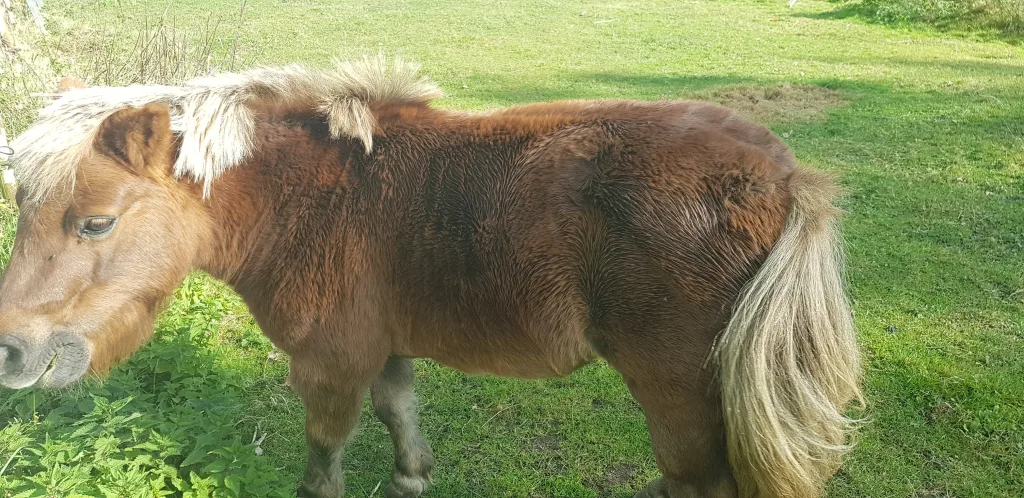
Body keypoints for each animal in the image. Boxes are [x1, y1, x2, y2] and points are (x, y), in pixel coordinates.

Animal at [0, 56, 863, 498]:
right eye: (21, 206)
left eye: (96, 222)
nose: (11, 352)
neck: (311, 198)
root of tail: (783, 177)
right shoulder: (384, 348)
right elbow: (402, 423)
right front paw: (411, 478)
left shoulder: (328, 364)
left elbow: (324, 461)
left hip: (680, 393)